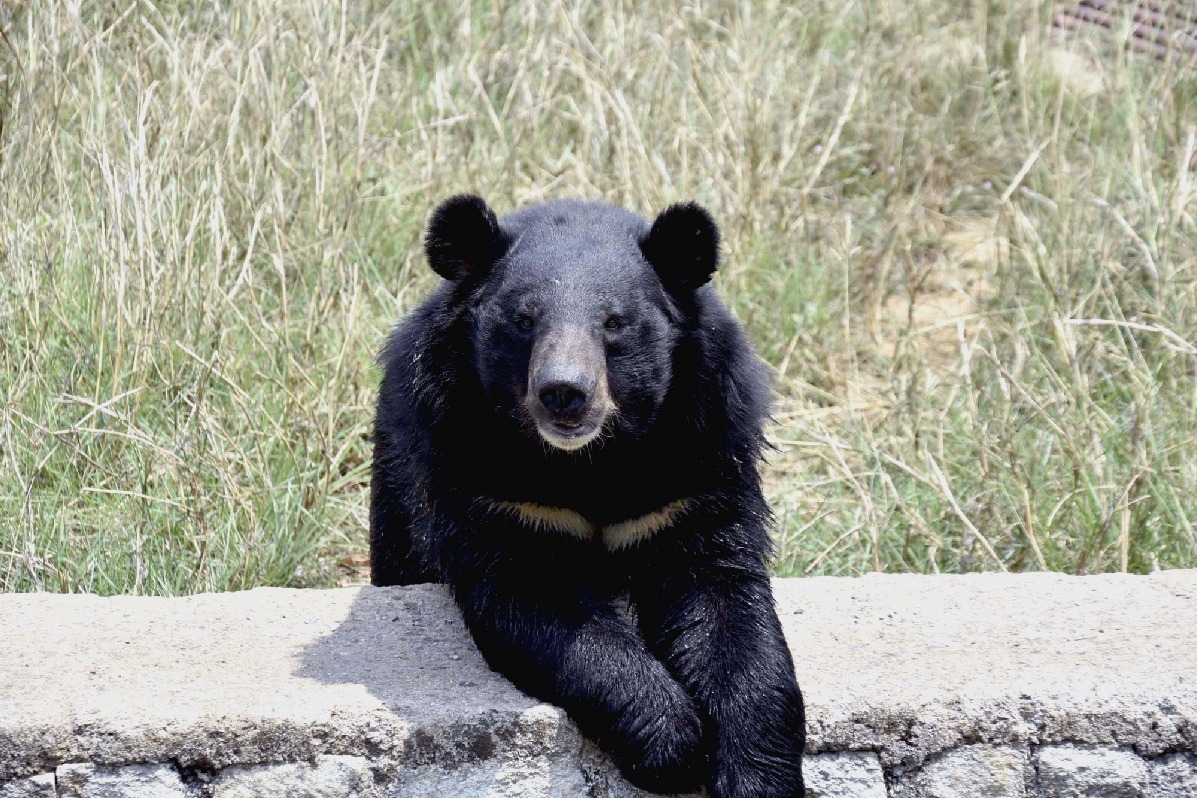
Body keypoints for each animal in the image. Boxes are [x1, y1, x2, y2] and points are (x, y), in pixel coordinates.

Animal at [373, 195, 804, 798]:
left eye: (615, 323)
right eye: (524, 320)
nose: (564, 393)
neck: (589, 461)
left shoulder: (698, 465)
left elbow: (727, 608)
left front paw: (757, 775)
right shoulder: (486, 480)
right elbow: (540, 599)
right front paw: (672, 745)